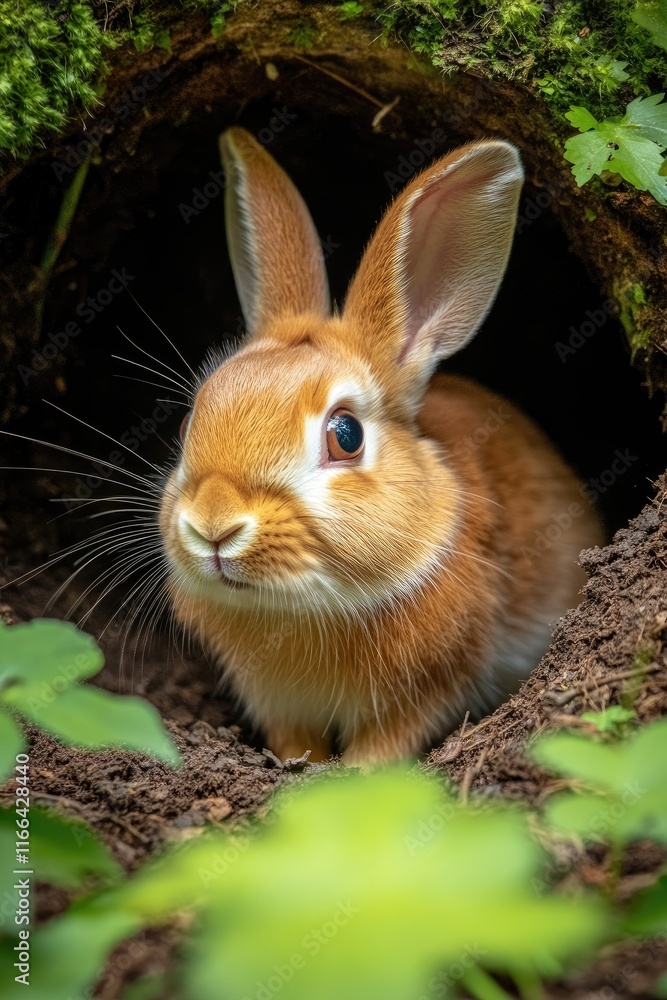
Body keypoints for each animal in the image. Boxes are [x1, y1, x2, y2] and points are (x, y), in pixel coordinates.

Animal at [159, 127, 602, 766]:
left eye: (346, 435)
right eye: (189, 421)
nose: (214, 525)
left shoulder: (429, 690)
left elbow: (385, 746)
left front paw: (351, 775)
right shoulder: (277, 702)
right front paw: (299, 767)